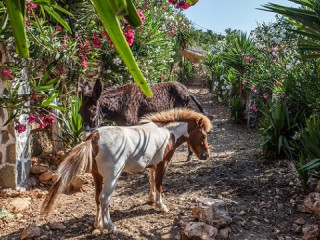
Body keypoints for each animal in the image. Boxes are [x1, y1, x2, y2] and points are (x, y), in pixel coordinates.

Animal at [42, 108, 212, 232]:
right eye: (203, 135)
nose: (206, 155)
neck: (167, 133)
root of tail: (94, 136)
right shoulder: (162, 165)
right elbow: (159, 185)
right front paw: (161, 206)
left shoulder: (152, 166)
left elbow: (151, 181)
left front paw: (150, 199)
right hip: (112, 177)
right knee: (104, 198)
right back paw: (109, 226)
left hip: (97, 175)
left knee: (97, 197)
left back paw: (98, 224)